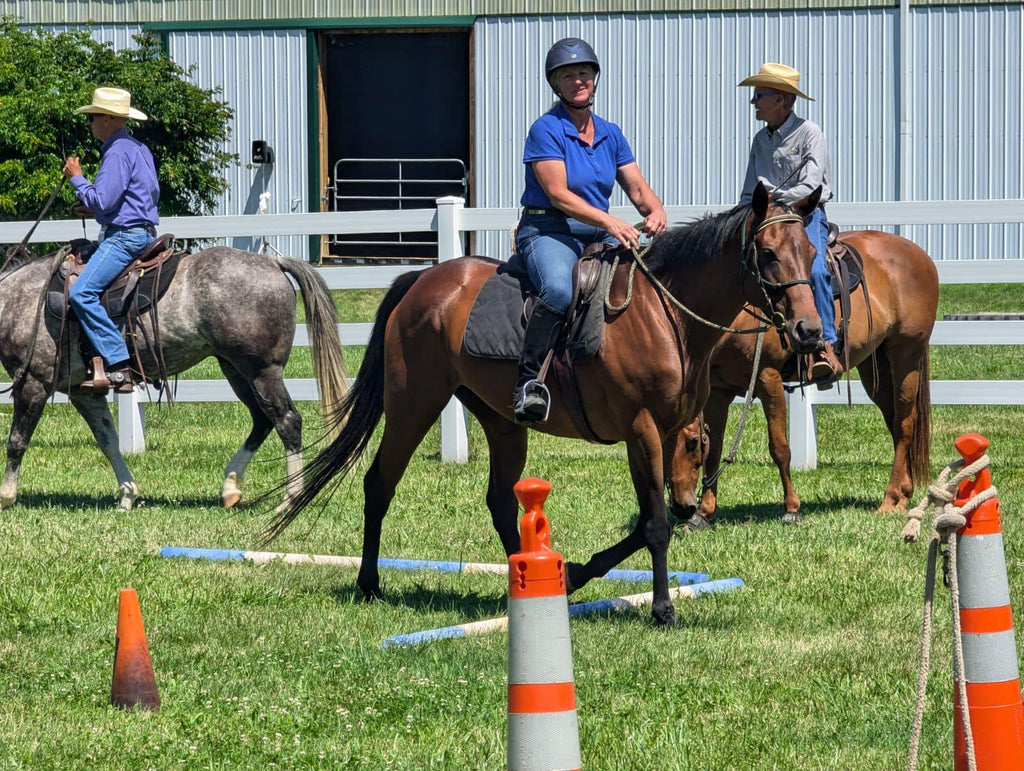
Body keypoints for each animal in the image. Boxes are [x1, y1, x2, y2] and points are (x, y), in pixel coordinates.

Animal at [0, 246, 348, 511]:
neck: (19, 299)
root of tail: (273, 263)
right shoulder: (83, 392)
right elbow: (108, 441)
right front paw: (127, 495)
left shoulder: (33, 383)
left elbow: (17, 442)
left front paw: (6, 497)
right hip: (235, 369)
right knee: (262, 420)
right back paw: (231, 487)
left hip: (261, 370)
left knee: (287, 421)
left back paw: (290, 499)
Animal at [266, 185, 823, 626]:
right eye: (768, 253)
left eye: (811, 250)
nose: (809, 331)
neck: (666, 315)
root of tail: (422, 280)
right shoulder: (641, 430)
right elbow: (654, 524)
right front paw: (663, 608)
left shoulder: (664, 431)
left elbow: (649, 519)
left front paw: (575, 573)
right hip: (413, 405)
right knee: (379, 483)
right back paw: (369, 583)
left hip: (502, 422)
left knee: (498, 501)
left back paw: (526, 582)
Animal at [679, 228, 937, 528]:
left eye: (689, 443)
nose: (680, 507)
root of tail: (919, 254)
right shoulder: (718, 391)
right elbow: (715, 447)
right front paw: (704, 513)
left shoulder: (768, 378)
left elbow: (780, 448)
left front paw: (792, 508)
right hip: (879, 366)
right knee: (895, 422)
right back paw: (903, 496)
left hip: (906, 354)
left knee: (906, 424)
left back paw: (890, 498)